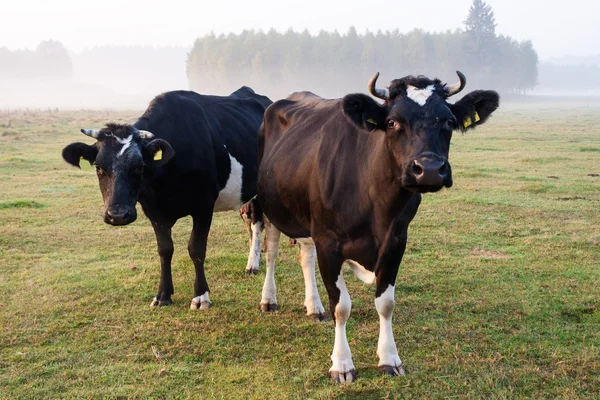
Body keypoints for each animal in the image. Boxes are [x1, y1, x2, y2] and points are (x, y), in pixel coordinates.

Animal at [62, 88, 270, 310]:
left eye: (139, 166)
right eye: (98, 167)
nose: (117, 215)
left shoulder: (204, 206)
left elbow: (196, 249)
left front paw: (200, 296)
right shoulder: (153, 210)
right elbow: (165, 250)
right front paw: (163, 294)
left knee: (257, 221)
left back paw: (253, 264)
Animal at [255, 71, 500, 382]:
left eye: (448, 121)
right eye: (393, 122)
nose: (430, 170)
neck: (375, 204)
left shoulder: (396, 242)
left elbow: (386, 304)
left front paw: (389, 358)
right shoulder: (329, 243)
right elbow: (341, 307)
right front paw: (342, 364)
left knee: (305, 257)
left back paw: (314, 307)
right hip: (269, 206)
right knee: (272, 253)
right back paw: (269, 299)